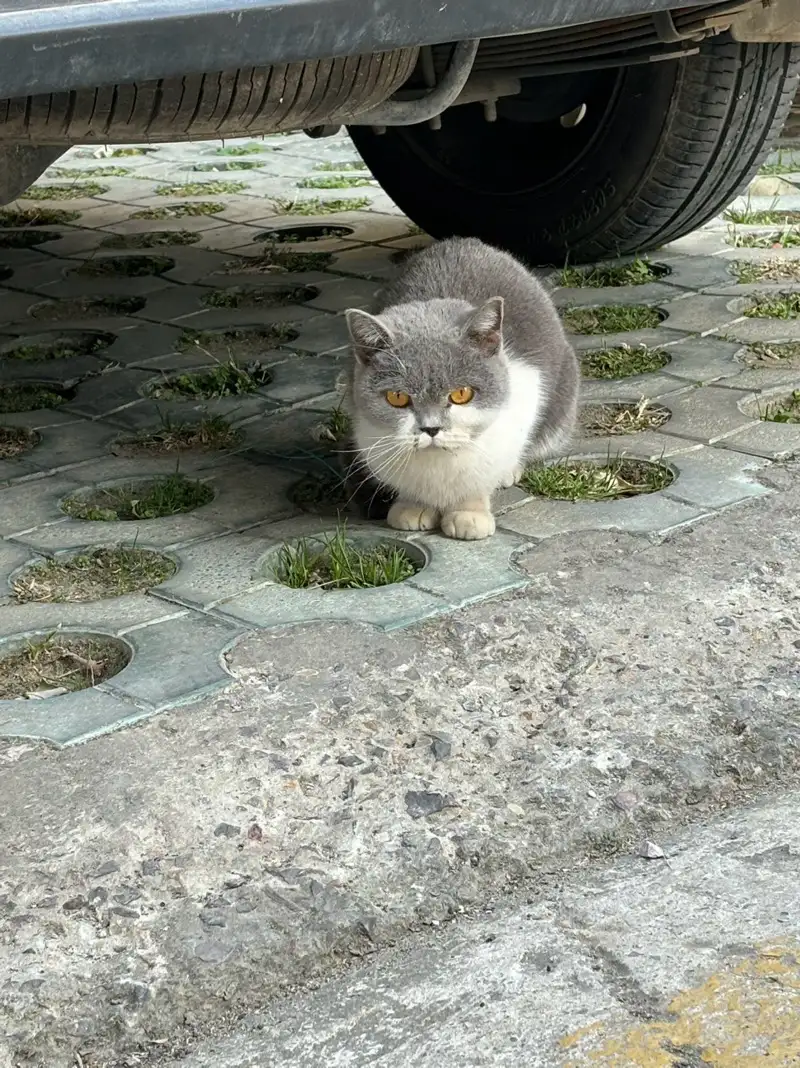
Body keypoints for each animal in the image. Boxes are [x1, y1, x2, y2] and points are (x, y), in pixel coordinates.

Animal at [339, 238, 576, 538]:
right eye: (397, 397)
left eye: (461, 394)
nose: (431, 428)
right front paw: (413, 507)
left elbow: (477, 482)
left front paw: (469, 515)